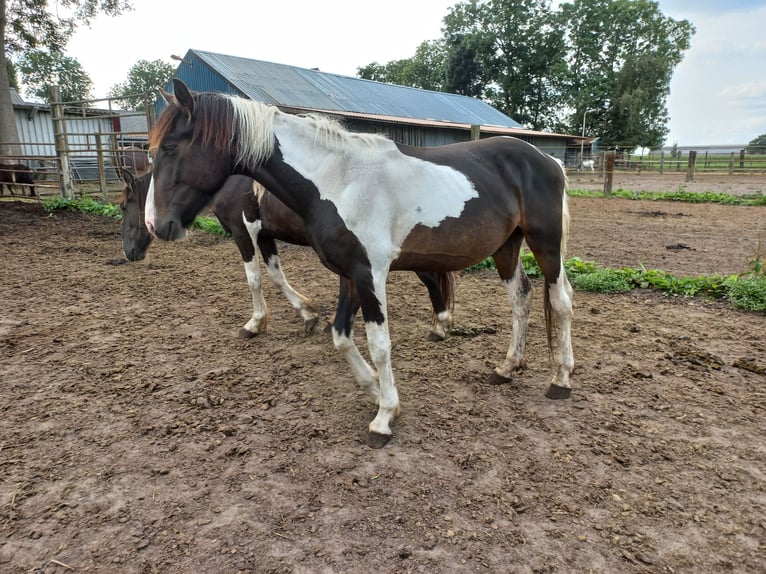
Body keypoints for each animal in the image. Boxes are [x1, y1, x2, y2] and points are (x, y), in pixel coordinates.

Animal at [121, 171, 456, 342]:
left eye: (124, 204)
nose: (128, 252)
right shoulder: (265, 236)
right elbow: (276, 276)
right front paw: (308, 314)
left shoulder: (243, 233)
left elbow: (254, 278)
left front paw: (255, 323)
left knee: (429, 277)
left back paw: (440, 326)